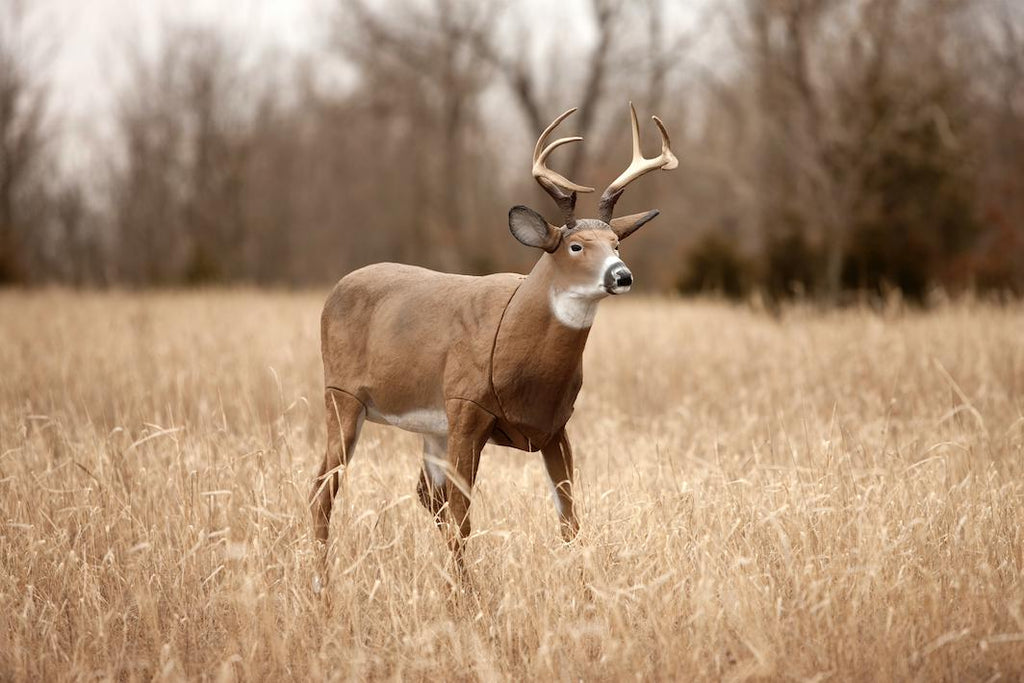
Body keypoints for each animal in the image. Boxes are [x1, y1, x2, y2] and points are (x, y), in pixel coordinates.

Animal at [311, 103, 677, 576]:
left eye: (616, 242)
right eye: (575, 246)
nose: (622, 275)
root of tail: (335, 290)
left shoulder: (554, 426)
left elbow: (570, 519)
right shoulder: (468, 408)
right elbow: (464, 519)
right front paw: (464, 593)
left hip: (431, 427)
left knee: (422, 495)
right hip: (342, 394)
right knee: (324, 489)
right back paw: (321, 582)